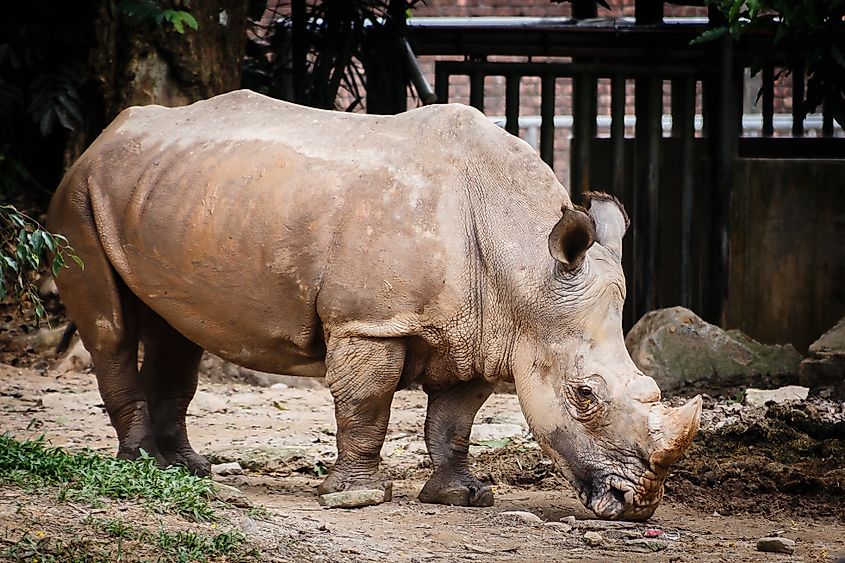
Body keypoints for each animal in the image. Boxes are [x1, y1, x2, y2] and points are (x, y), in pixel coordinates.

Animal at [48, 90, 701, 521]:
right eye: (583, 396)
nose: (638, 505)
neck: (525, 269)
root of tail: (106, 134)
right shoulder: (369, 323)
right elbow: (366, 406)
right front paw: (356, 497)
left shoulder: (486, 332)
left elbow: (454, 420)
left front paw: (462, 496)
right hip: (79, 192)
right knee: (110, 329)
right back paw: (141, 466)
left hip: (172, 192)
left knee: (176, 329)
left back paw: (186, 468)